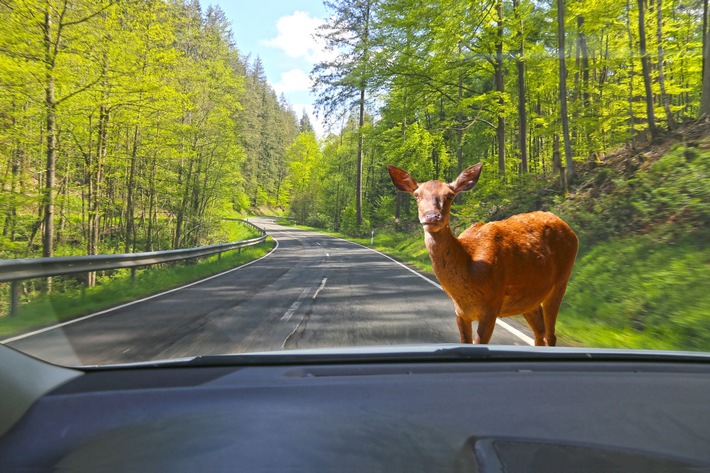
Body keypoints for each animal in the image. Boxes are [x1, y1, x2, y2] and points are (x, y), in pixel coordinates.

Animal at [390, 164, 580, 344]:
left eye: (450, 195)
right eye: (417, 195)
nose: (431, 216)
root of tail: (571, 230)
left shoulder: (491, 306)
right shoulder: (460, 313)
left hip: (560, 282)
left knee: (550, 334)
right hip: (529, 299)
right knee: (539, 334)